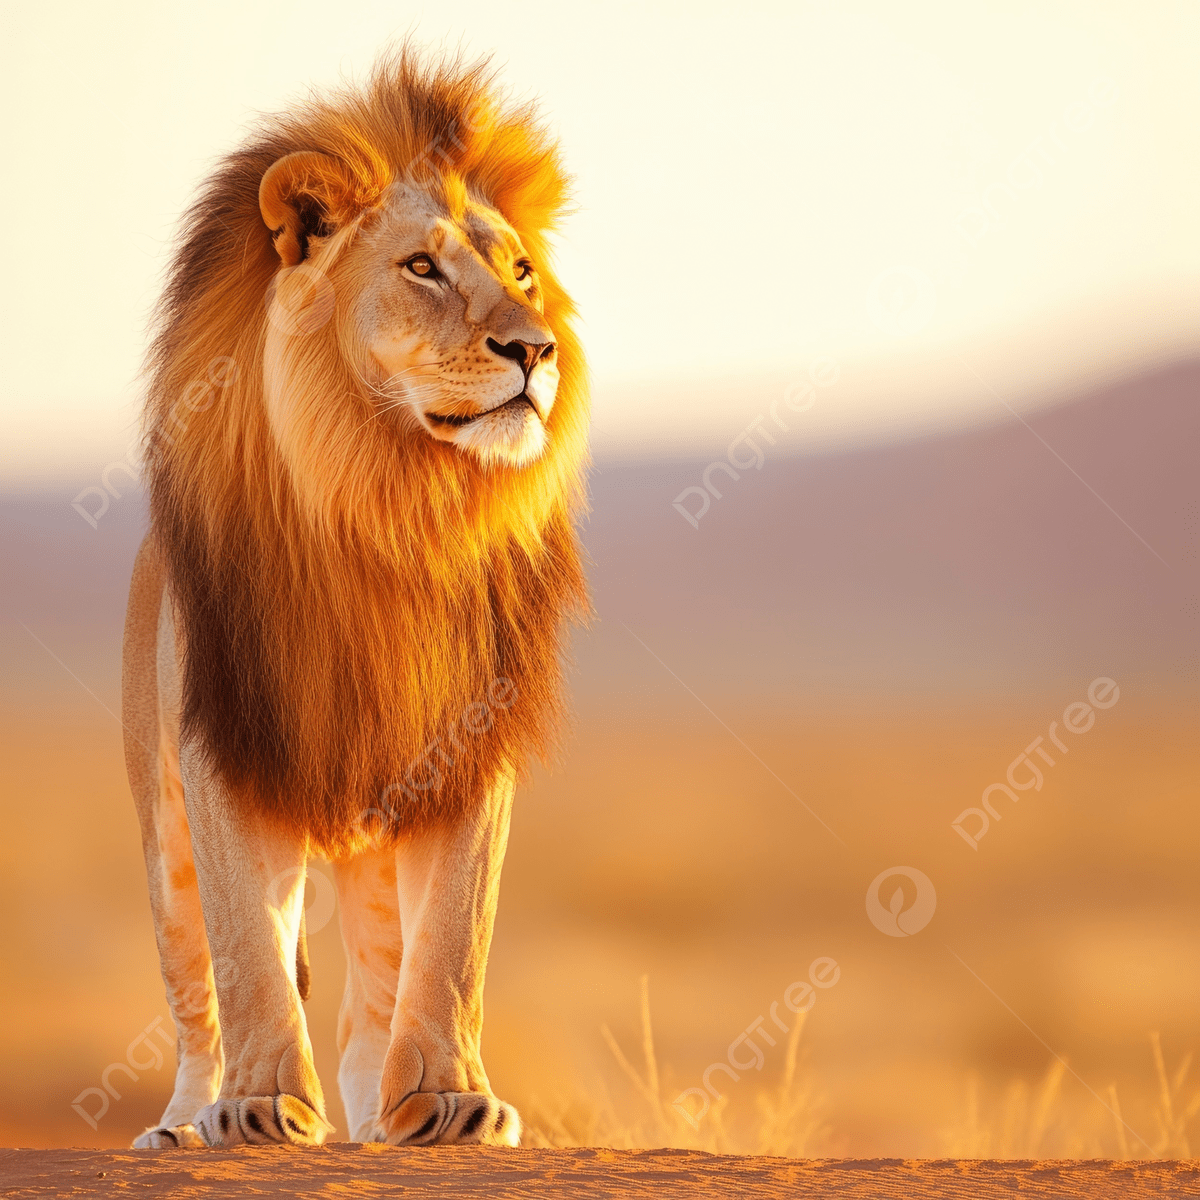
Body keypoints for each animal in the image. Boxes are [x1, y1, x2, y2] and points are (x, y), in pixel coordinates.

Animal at [121, 49, 589, 1149]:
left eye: (521, 273)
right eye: (421, 268)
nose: (536, 350)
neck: (394, 503)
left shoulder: (469, 743)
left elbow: (455, 940)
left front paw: (453, 1101)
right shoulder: (227, 738)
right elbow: (247, 949)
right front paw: (258, 1108)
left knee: (371, 998)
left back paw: (386, 1108)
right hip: (161, 834)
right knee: (195, 988)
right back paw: (184, 1121)